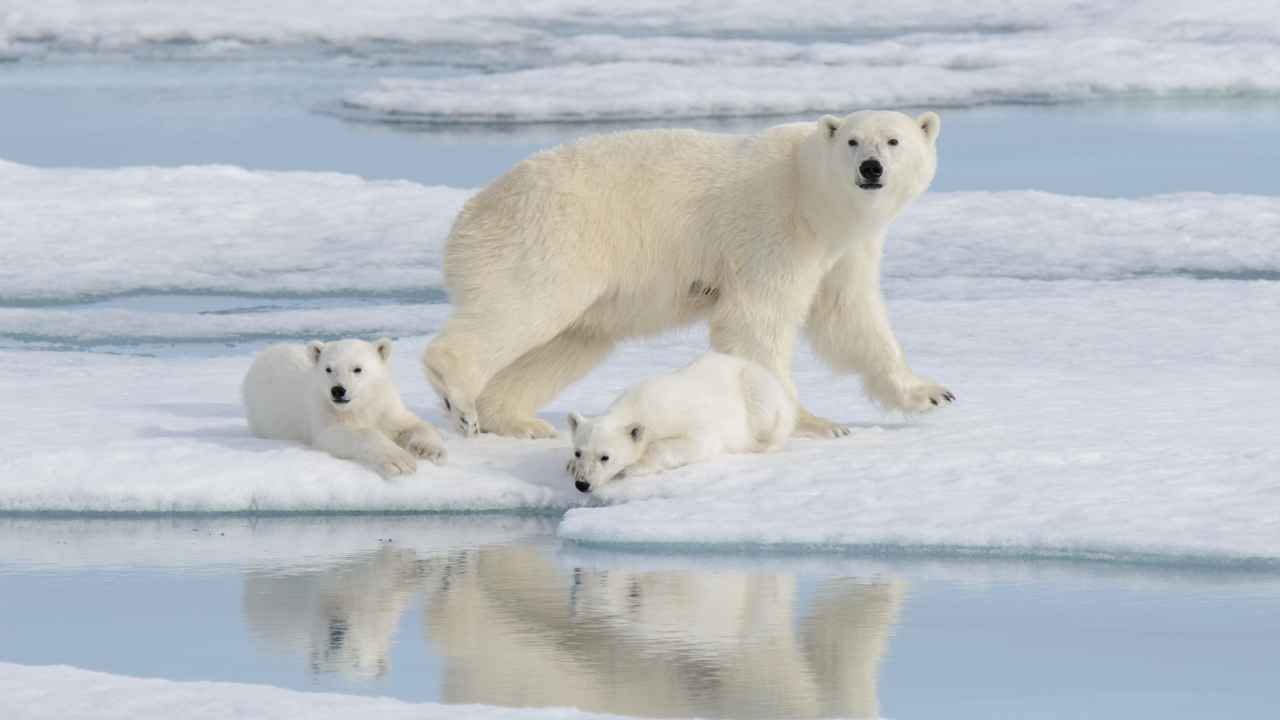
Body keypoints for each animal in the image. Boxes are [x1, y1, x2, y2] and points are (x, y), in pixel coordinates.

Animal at [242, 337, 446, 476]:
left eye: (357, 369)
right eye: (328, 369)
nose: (338, 390)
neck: (360, 405)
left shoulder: (384, 406)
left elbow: (412, 423)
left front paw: (429, 450)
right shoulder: (324, 411)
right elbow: (342, 434)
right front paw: (400, 461)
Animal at [424, 109, 953, 440]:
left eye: (894, 140)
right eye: (852, 141)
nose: (871, 168)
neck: (812, 197)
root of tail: (471, 214)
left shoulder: (843, 249)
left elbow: (849, 317)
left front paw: (930, 393)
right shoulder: (774, 231)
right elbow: (756, 321)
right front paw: (815, 422)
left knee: (567, 343)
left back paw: (517, 419)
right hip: (554, 239)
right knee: (525, 305)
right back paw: (460, 397)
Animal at [565, 352, 795, 493]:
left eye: (605, 457)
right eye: (578, 452)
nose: (582, 484)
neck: (641, 405)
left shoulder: (688, 421)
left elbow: (697, 444)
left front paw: (633, 468)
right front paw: (570, 466)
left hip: (756, 389)